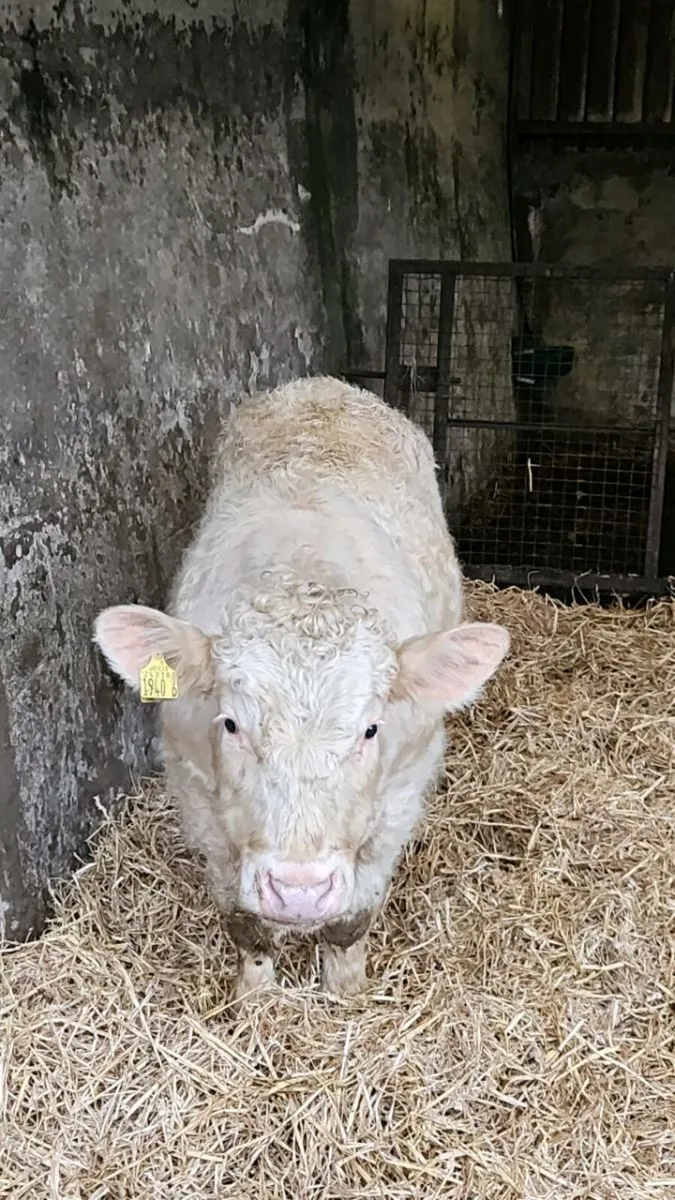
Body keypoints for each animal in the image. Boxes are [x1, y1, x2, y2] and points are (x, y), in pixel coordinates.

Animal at [94, 376, 509, 1000]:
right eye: (232, 724)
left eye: (370, 730)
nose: (299, 890)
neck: (304, 578)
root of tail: (325, 387)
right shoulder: (198, 795)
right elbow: (243, 921)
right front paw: (254, 998)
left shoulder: (401, 792)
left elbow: (351, 919)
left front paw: (346, 993)